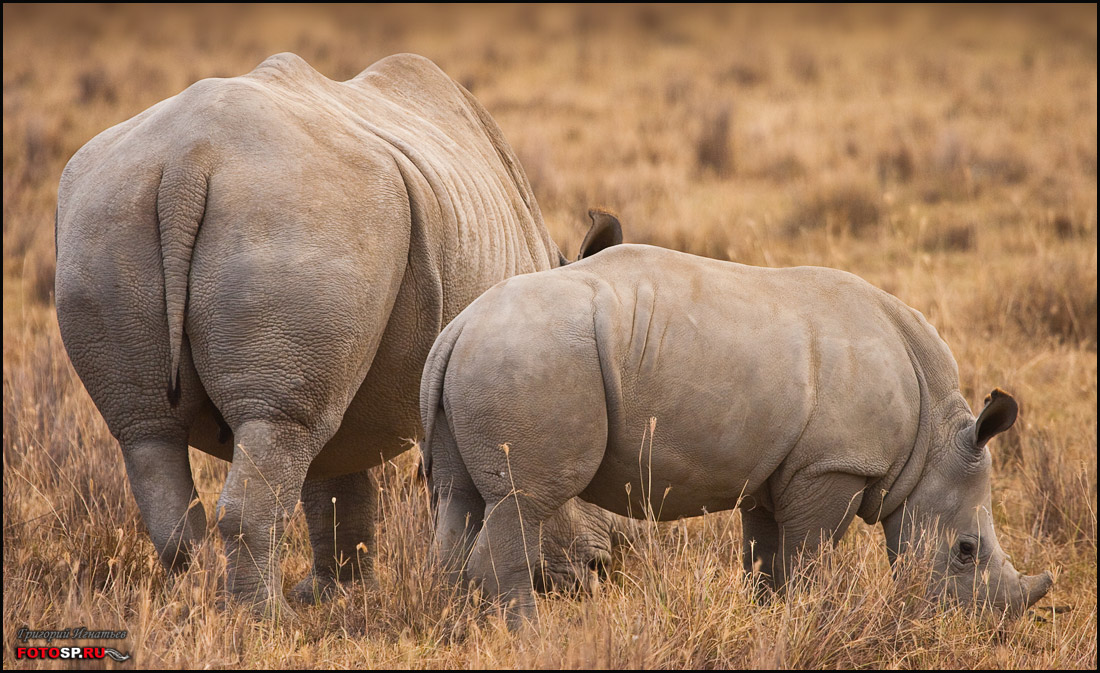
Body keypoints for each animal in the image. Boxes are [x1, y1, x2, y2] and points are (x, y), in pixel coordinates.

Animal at [58, 53, 629, 615]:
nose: (599, 571)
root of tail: (187, 160)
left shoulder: (338, 360)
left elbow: (334, 482)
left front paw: (342, 596)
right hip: (302, 216)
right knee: (276, 426)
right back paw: (266, 620)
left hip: (111, 215)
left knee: (153, 431)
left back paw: (194, 608)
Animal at [415, 241, 1051, 624]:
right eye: (966, 550)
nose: (978, 628)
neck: (934, 439)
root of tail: (457, 327)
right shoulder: (835, 465)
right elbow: (809, 556)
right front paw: (810, 618)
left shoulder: (777, 468)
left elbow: (766, 556)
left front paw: (769, 619)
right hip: (529, 358)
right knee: (525, 500)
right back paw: (531, 636)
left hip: (488, 360)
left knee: (459, 498)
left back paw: (454, 626)